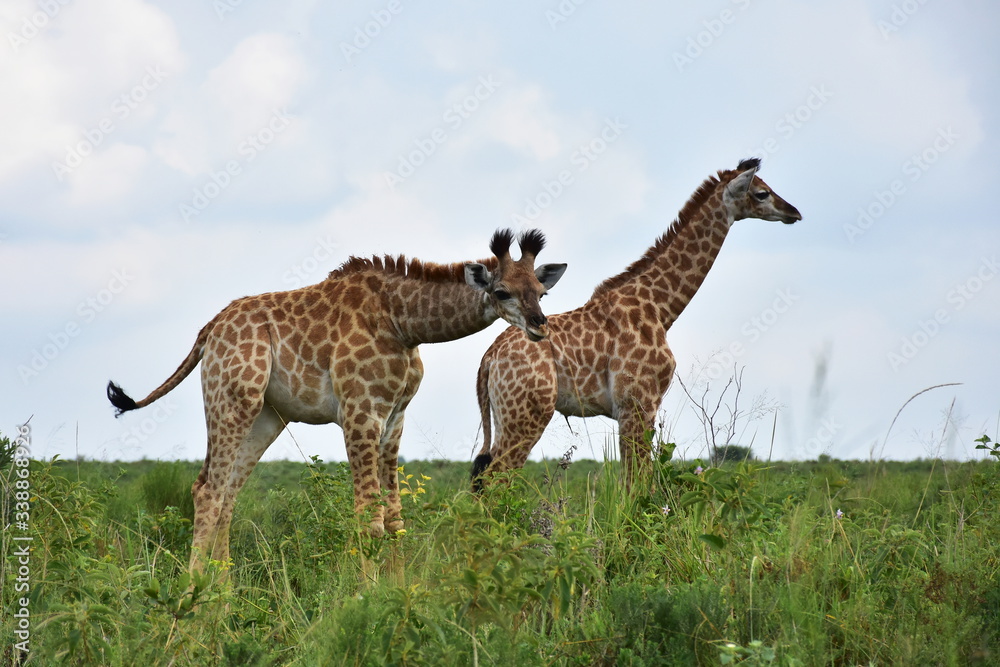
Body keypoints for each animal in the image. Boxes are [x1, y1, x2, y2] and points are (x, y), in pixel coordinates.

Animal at [107, 229, 566, 570]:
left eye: (540, 291)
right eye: (502, 291)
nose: (539, 326)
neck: (403, 323)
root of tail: (209, 330)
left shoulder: (394, 418)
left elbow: (395, 518)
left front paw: (399, 595)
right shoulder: (359, 412)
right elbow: (369, 520)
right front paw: (367, 599)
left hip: (266, 417)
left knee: (228, 495)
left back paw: (225, 596)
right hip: (232, 399)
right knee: (208, 490)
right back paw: (197, 601)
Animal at [472, 159, 801, 486]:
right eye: (761, 193)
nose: (794, 213)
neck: (660, 308)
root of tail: (489, 358)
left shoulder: (636, 408)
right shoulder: (638, 403)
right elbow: (637, 481)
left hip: (505, 415)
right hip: (527, 414)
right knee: (495, 479)